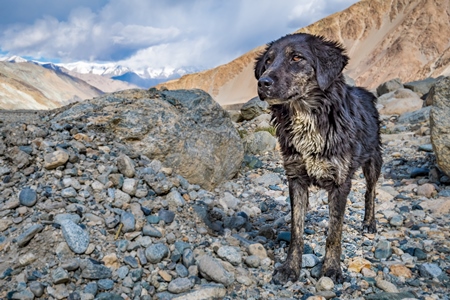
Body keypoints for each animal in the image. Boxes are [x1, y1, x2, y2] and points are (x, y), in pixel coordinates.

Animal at [255, 33, 382, 284]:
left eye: (297, 57)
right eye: (267, 61)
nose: (262, 83)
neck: (307, 115)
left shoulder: (340, 182)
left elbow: (334, 233)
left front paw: (331, 269)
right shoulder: (295, 177)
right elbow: (296, 231)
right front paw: (290, 268)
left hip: (374, 159)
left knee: (370, 192)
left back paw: (369, 222)